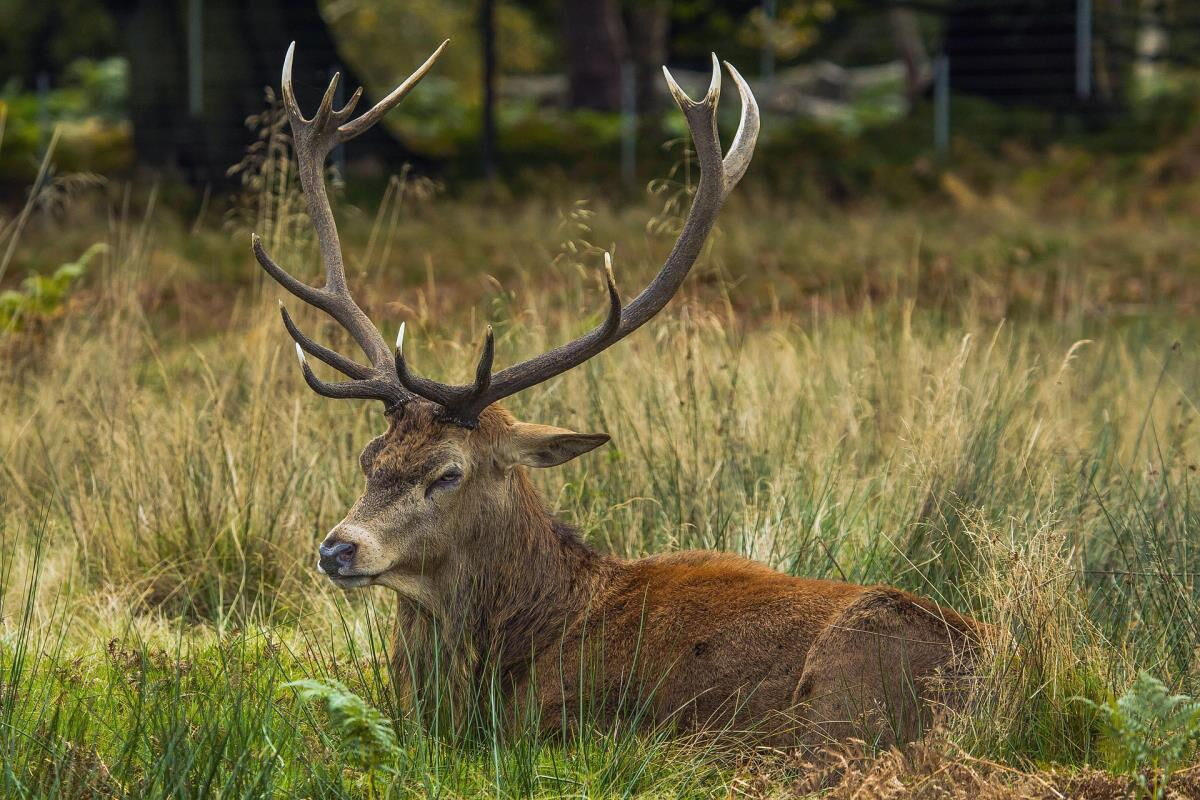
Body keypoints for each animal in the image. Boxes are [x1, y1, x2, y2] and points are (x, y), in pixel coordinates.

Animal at [253, 41, 984, 747]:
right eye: (368, 459)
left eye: (447, 473)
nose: (337, 548)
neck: (535, 631)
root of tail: (987, 670)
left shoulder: (563, 724)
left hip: (842, 698)